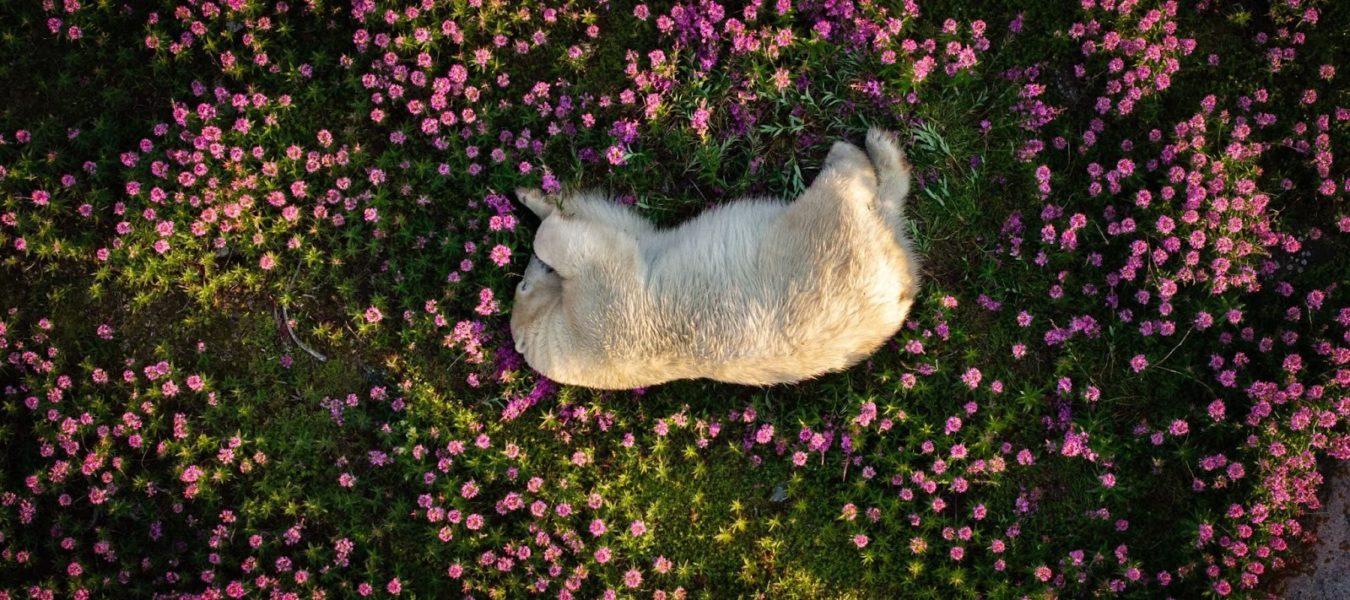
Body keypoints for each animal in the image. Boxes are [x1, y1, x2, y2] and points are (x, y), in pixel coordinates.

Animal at [510, 128, 923, 389]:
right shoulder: (602, 318)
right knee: (848, 191)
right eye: (523, 284)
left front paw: (532, 197)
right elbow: (588, 243)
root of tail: (896, 290)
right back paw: (861, 149)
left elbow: (617, 224)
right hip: (826, 239)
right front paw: (541, 211)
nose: (529, 268)